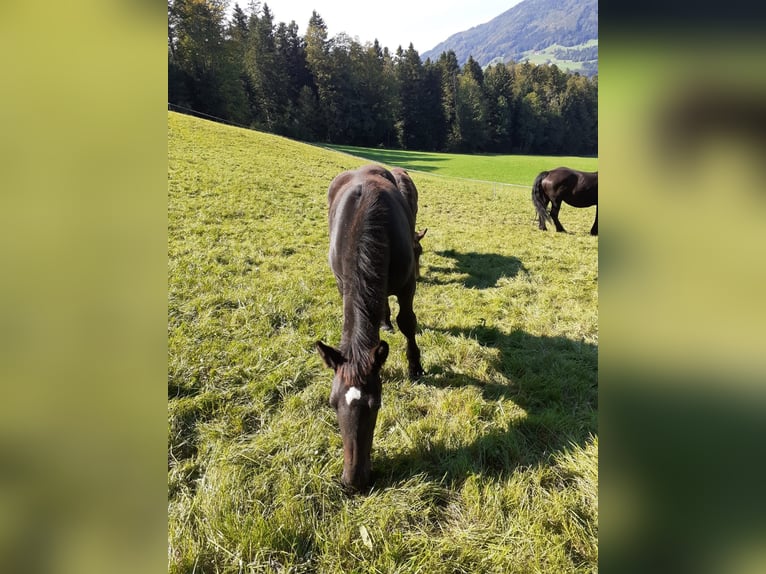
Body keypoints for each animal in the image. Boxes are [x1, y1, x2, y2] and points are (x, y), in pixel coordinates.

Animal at [318, 164, 426, 492]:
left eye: (376, 404)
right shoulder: (343, 283)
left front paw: (415, 366)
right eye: (331, 403)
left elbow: (408, 322)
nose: (353, 481)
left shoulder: (407, 282)